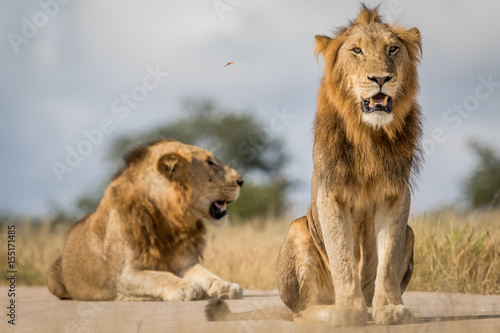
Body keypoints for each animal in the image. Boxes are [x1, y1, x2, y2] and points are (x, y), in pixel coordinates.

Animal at [47, 138, 247, 300]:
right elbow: (159, 276)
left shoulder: (186, 262)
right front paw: (185, 287)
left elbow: (207, 274)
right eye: (210, 162)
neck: (170, 219)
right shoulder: (125, 274)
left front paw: (225, 286)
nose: (242, 180)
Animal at [207, 3, 422, 326]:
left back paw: (370, 308)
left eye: (393, 49)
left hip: (410, 232)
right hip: (298, 229)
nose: (381, 78)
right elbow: (343, 256)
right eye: (357, 51)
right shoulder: (330, 193)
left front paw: (390, 308)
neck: (368, 134)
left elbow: (389, 257)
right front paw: (348, 311)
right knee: (301, 312)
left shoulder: (395, 194)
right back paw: (334, 311)